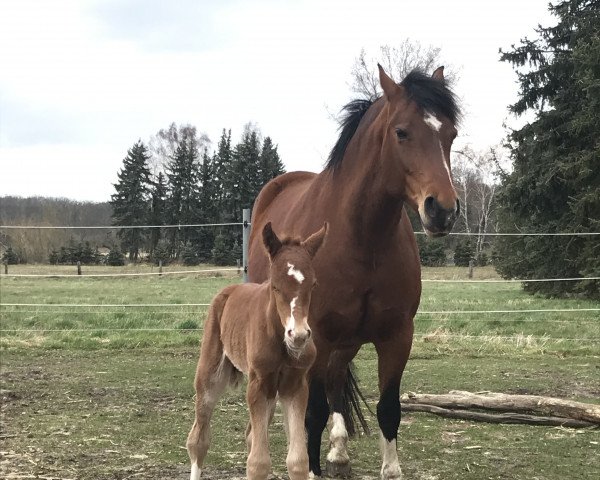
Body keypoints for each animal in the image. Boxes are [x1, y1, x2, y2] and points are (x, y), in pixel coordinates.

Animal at [188, 221, 328, 480]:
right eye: (275, 286)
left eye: (313, 284)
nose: (298, 335)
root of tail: (229, 290)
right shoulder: (258, 384)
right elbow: (258, 463)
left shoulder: (295, 386)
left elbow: (297, 460)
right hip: (210, 375)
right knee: (198, 440)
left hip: (273, 392)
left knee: (250, 436)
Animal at [246, 64, 462, 480]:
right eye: (401, 131)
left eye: (451, 134)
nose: (442, 210)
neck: (362, 238)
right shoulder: (318, 334)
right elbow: (312, 412)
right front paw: (309, 467)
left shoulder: (396, 336)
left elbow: (388, 409)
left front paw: (386, 467)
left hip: (344, 344)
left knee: (332, 383)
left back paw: (339, 448)